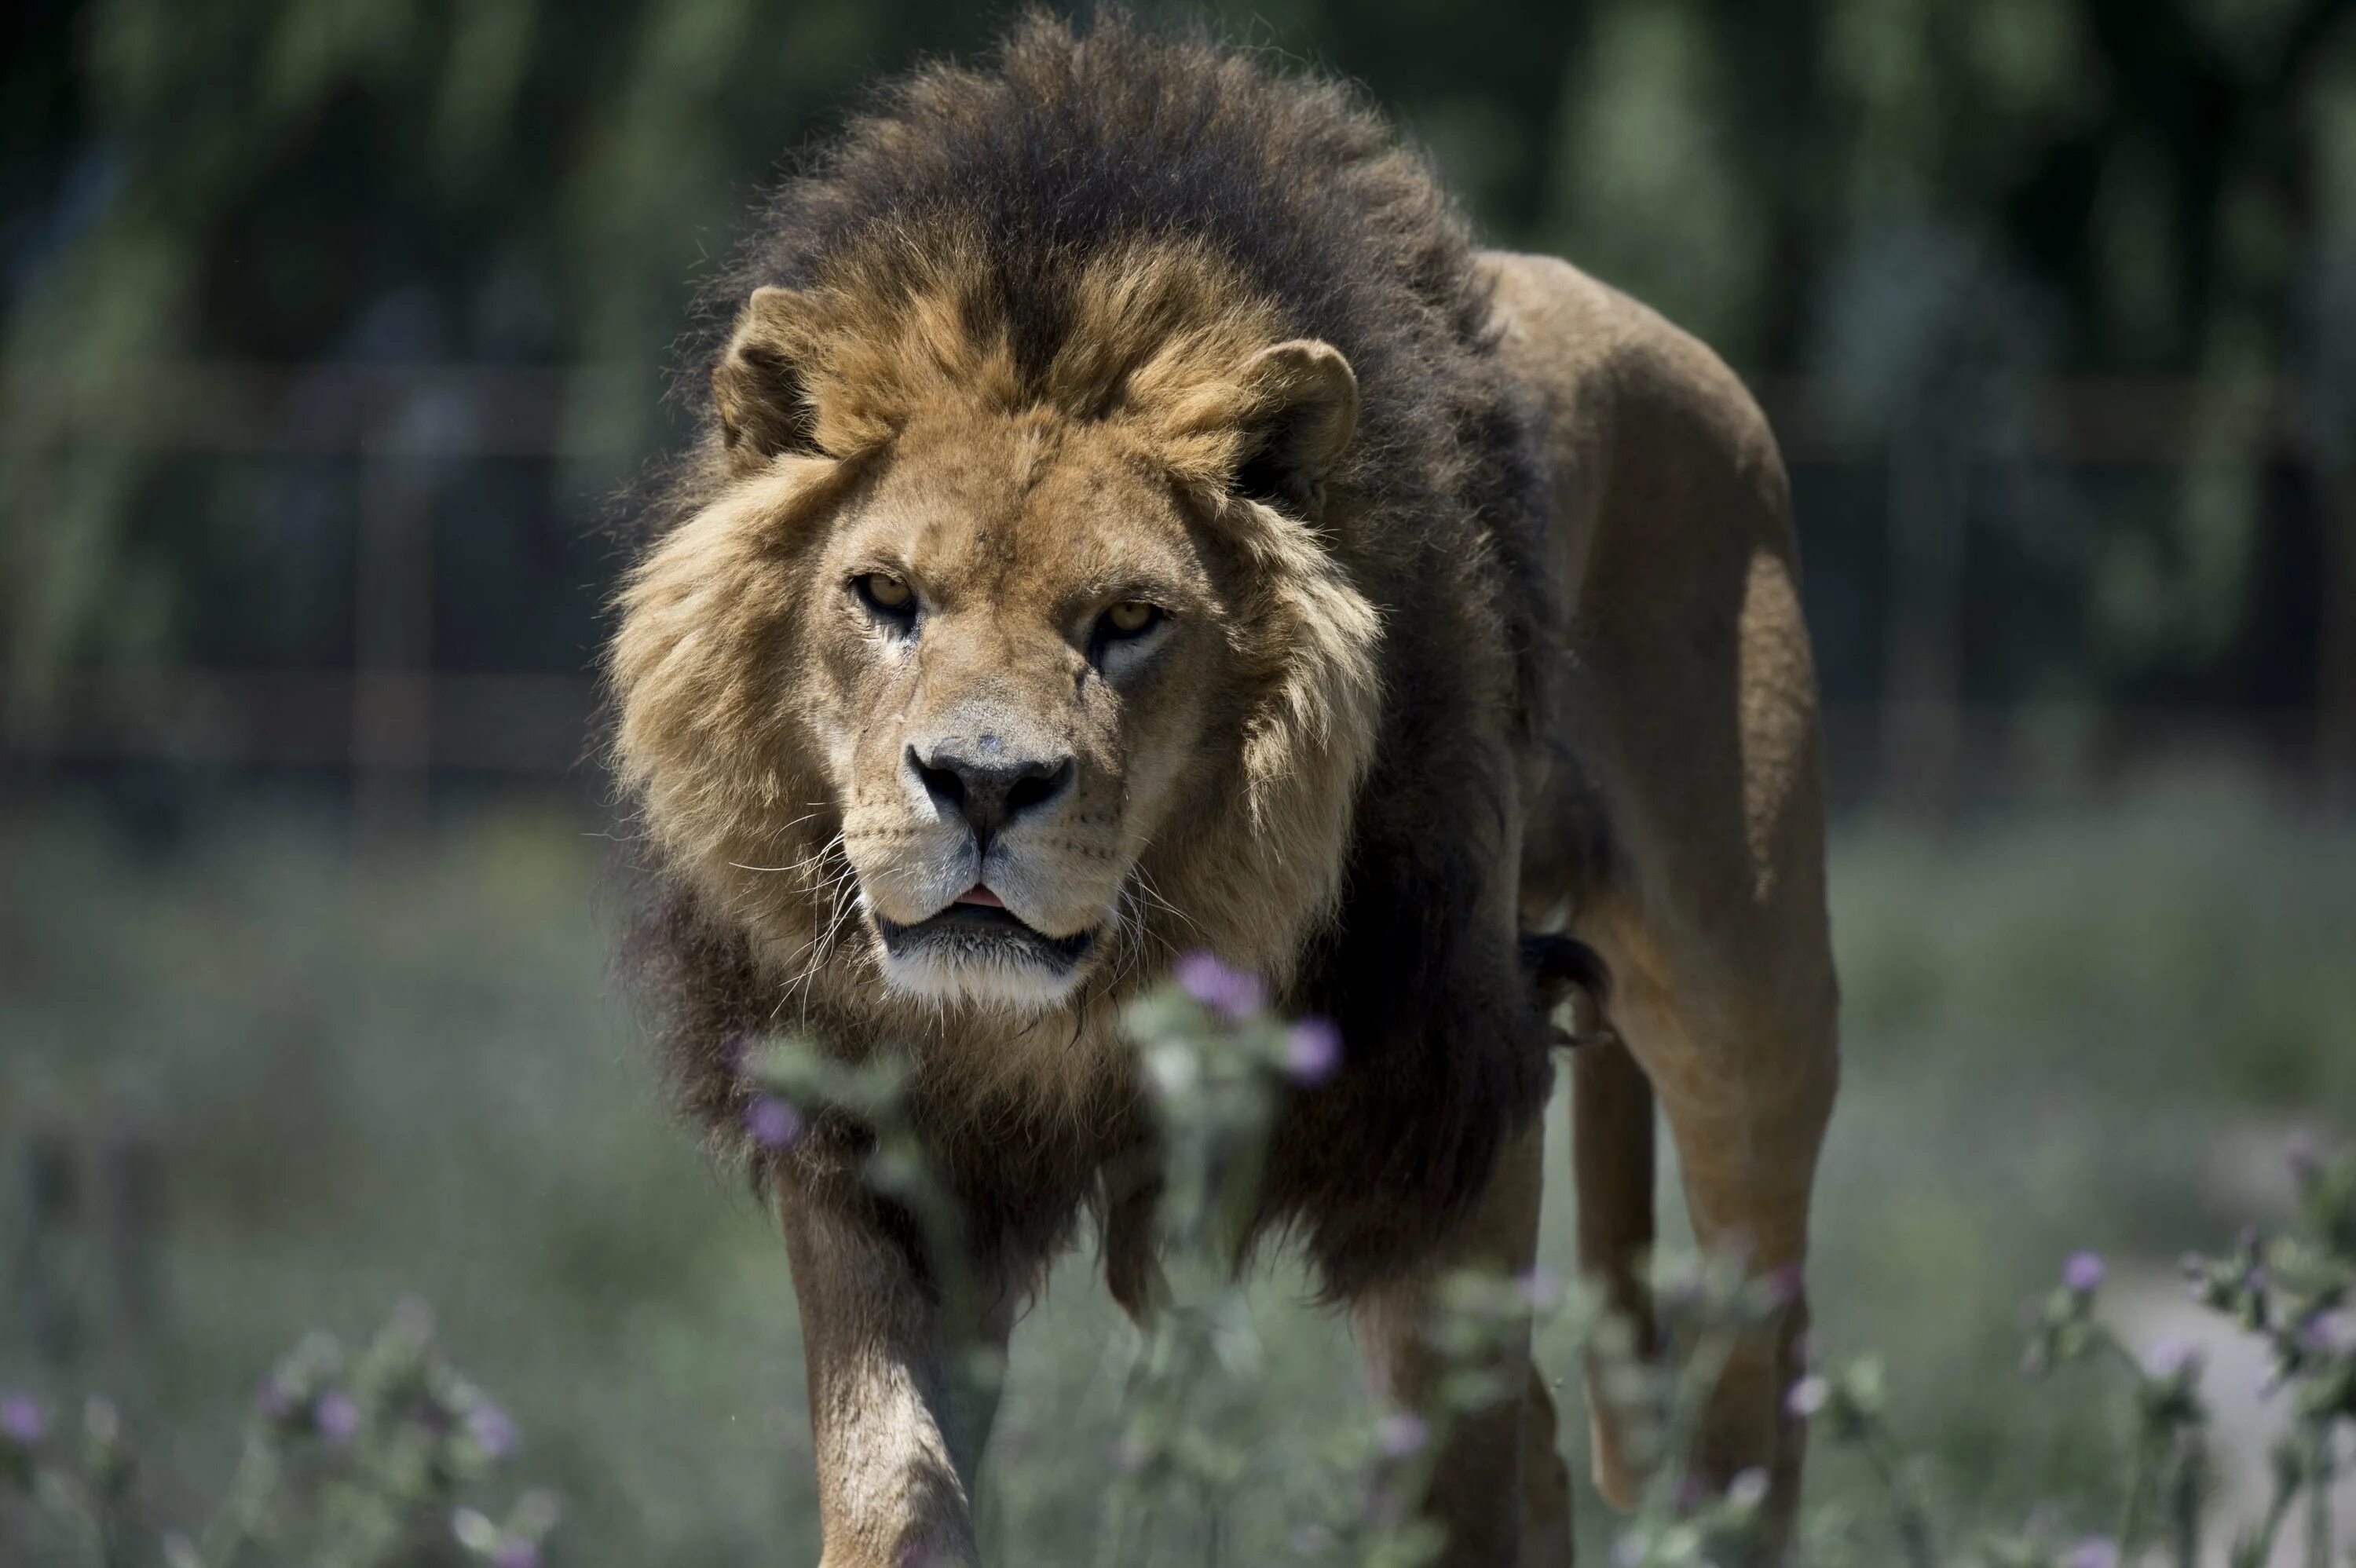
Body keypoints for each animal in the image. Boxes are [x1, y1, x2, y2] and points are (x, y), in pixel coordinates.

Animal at [613, 12, 1838, 1563]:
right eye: (885, 596)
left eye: (1130, 620)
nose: (982, 787)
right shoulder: (871, 1142)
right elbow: (893, 1477)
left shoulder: (1441, 1092)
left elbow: (1453, 1481)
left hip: (1749, 1013)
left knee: (1748, 1397)